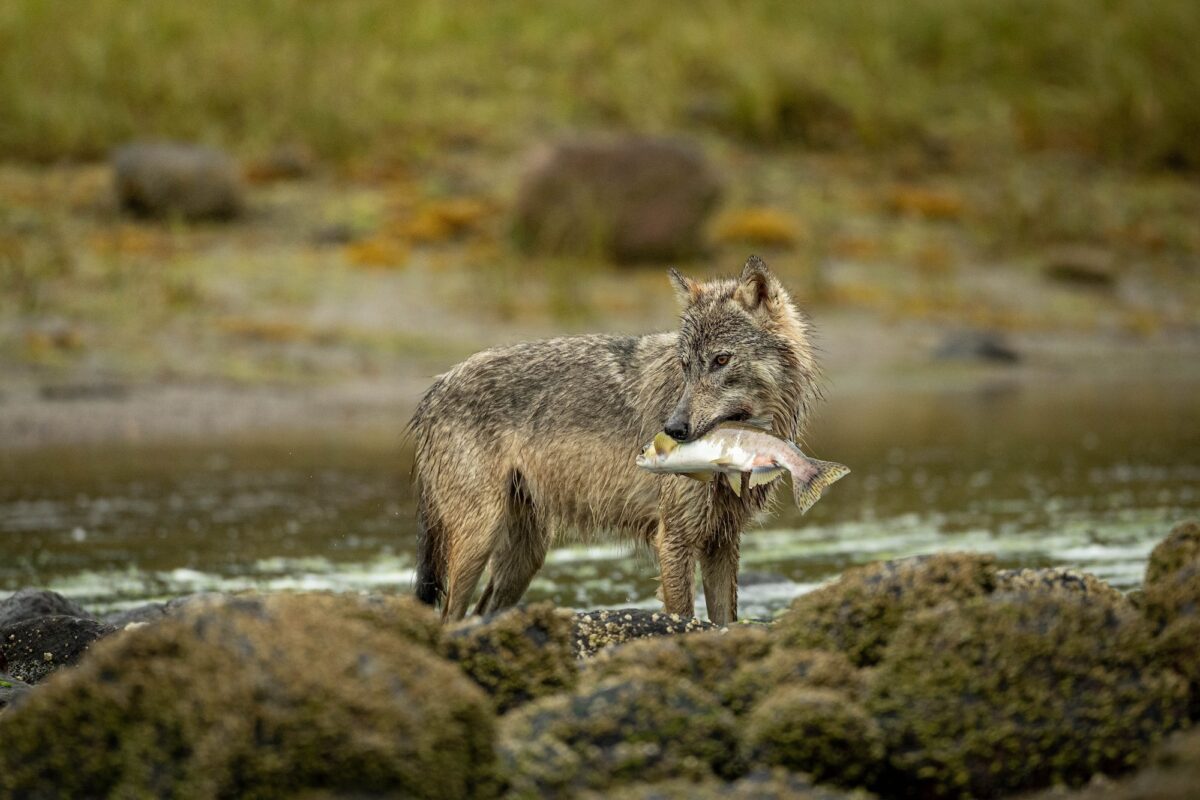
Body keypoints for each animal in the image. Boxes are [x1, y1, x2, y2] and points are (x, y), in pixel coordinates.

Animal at [409, 255, 820, 624]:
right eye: (685, 365)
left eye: (721, 360)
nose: (673, 429)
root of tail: (434, 389)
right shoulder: (674, 538)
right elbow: (685, 618)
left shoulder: (722, 541)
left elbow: (724, 623)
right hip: (478, 542)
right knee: (450, 616)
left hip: (523, 558)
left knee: (479, 614)